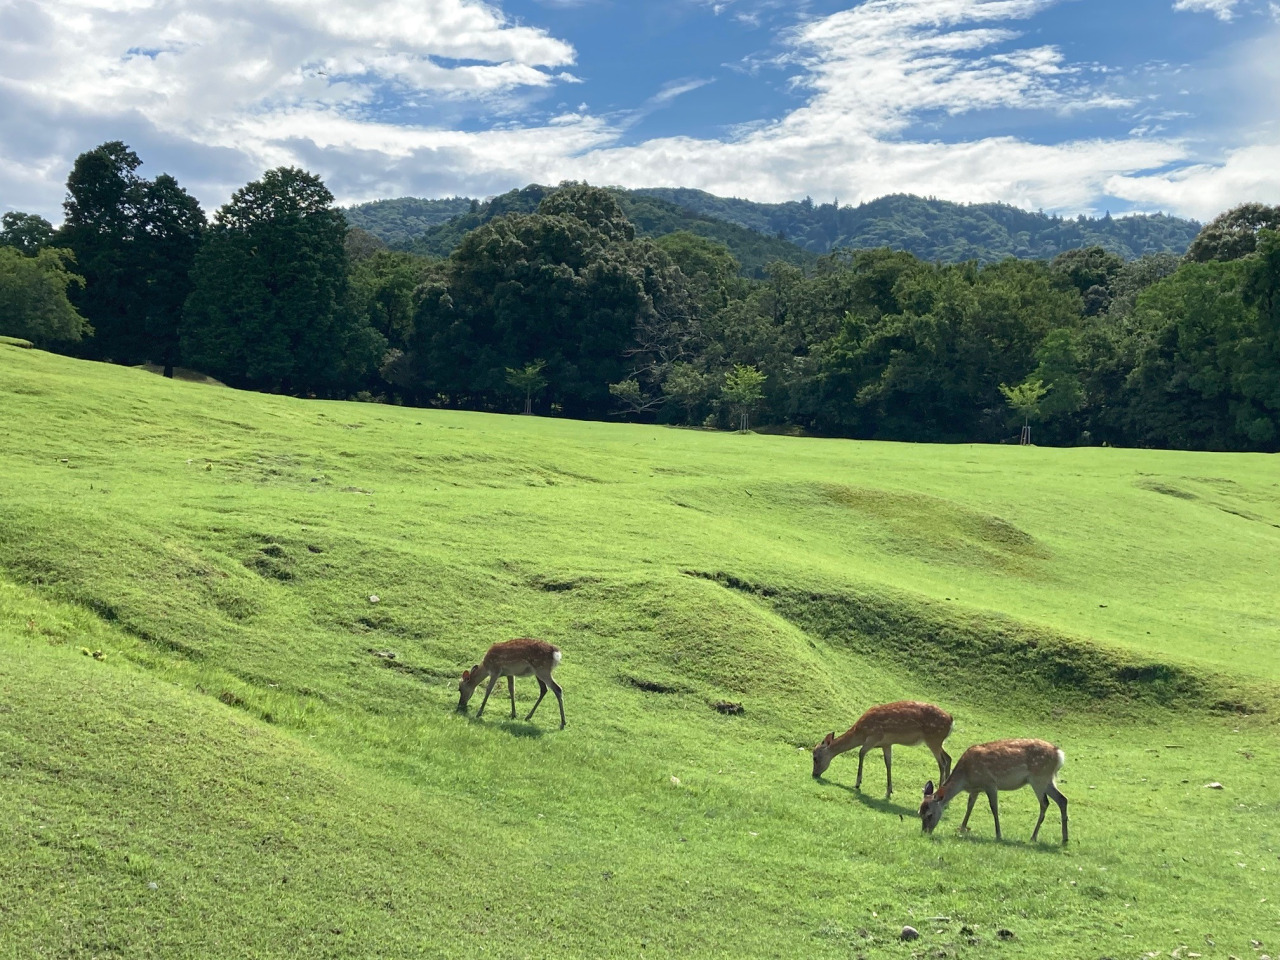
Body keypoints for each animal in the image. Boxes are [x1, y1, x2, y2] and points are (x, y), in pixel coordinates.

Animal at [812, 701, 953, 796]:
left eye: (815, 757)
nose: (814, 774)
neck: (861, 732)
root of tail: (951, 720)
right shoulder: (886, 743)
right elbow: (888, 763)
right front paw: (889, 790)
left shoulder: (874, 736)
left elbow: (861, 753)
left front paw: (857, 783)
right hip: (938, 741)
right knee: (949, 758)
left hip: (933, 739)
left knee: (942, 763)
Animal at [918, 738, 1068, 844]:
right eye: (920, 813)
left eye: (930, 815)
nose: (925, 832)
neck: (965, 777)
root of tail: (1059, 755)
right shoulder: (975, 789)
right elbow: (969, 806)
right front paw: (962, 828)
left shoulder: (990, 783)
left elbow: (994, 808)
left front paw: (998, 835)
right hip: (1047, 780)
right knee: (1062, 799)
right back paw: (1064, 839)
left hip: (1039, 778)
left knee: (1045, 803)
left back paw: (1033, 837)